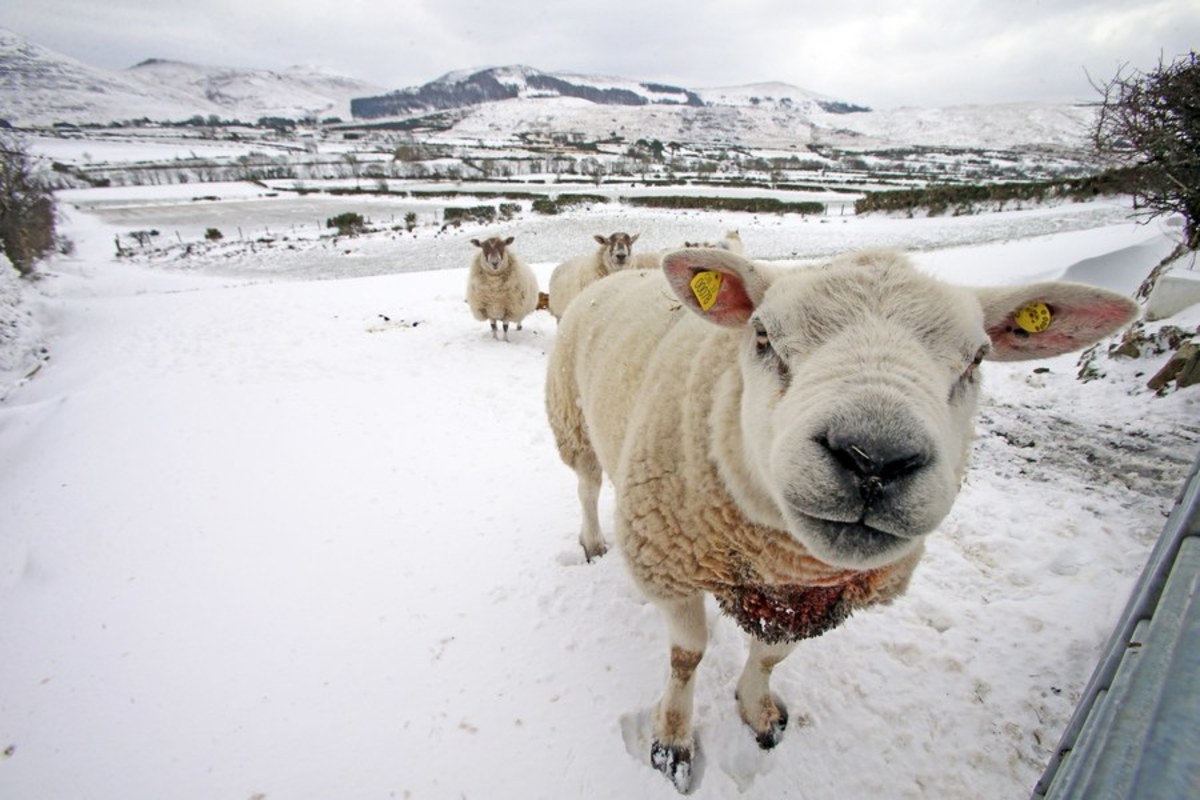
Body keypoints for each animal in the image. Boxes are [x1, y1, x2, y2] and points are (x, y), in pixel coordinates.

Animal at [549, 245, 1137, 796]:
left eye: (977, 359)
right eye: (762, 334)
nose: (874, 461)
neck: (782, 563)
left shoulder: (815, 598)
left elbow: (773, 656)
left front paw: (758, 711)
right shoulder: (668, 564)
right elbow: (687, 658)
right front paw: (671, 741)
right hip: (573, 421)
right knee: (587, 487)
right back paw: (593, 541)